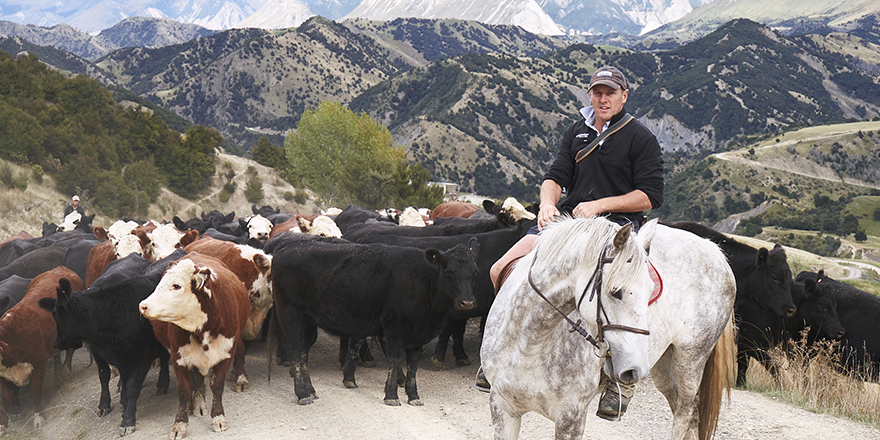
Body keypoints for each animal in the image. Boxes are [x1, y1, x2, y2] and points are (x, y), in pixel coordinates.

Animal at [0, 266, 84, 434]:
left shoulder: (38, 364)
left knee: (70, 351)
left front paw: (38, 418)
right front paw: (3, 427)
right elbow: (6, 401)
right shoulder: (4, 376)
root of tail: (60, 268)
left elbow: (35, 392)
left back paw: (65, 372)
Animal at [37, 253, 179, 434]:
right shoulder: (103, 352)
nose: (56, 342)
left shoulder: (143, 355)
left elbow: (132, 386)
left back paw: (162, 383)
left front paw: (127, 419)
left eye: (57, 315)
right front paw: (108, 404)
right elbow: (105, 375)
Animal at [138, 253, 249, 438]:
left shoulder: (225, 353)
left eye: (176, 285)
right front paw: (180, 424)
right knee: (197, 377)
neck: (203, 328)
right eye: (160, 283)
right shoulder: (179, 358)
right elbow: (184, 390)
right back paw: (197, 403)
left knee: (240, 351)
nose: (143, 306)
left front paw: (218, 417)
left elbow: (217, 386)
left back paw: (240, 379)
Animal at [266, 234, 478, 406]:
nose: (467, 302)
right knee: (295, 349)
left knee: (303, 350)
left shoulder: (418, 334)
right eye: (449, 272)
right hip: (290, 313)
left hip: (309, 320)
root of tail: (285, 249)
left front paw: (413, 396)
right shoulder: (395, 328)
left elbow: (413, 365)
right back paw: (302, 394)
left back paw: (310, 390)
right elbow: (395, 359)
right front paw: (391, 395)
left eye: (474, 272)